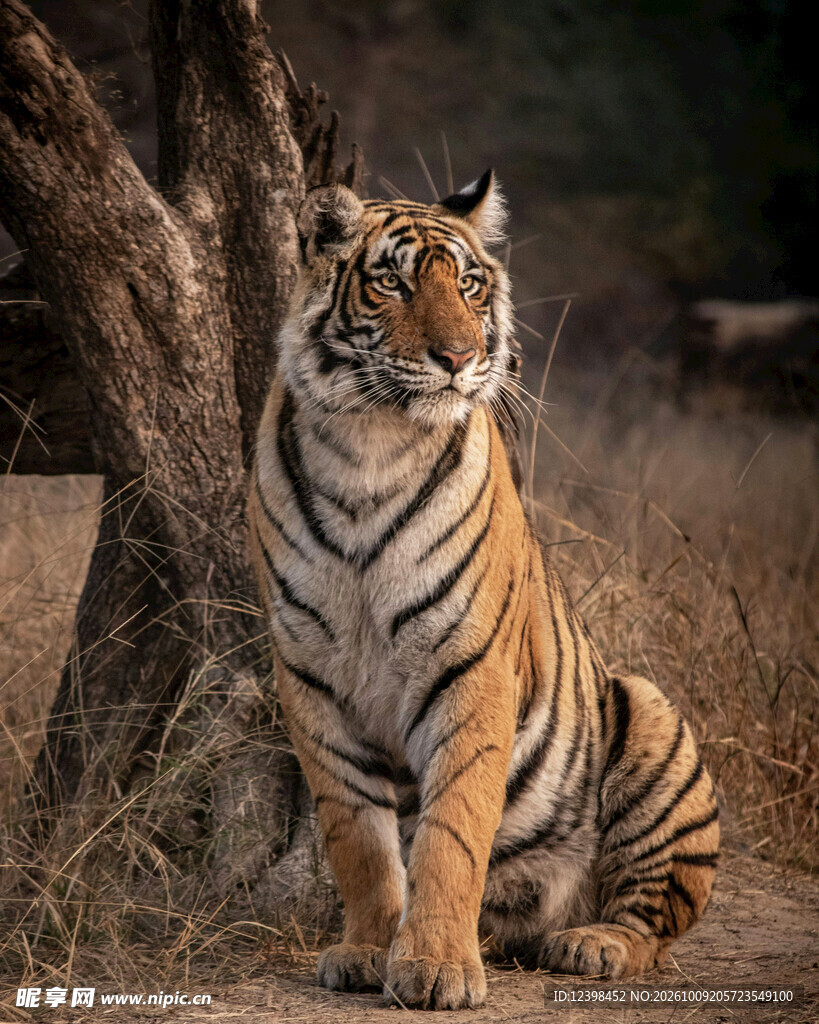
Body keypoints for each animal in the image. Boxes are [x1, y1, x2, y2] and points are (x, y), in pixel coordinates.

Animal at [248, 170, 719, 1010]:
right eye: (393, 283)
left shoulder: (467, 666)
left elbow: (452, 832)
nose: (458, 356)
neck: (368, 445)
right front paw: (367, 950)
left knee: (655, 923)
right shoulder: (309, 675)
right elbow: (356, 837)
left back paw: (590, 943)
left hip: (650, 720)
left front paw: (435, 968)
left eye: (468, 285)